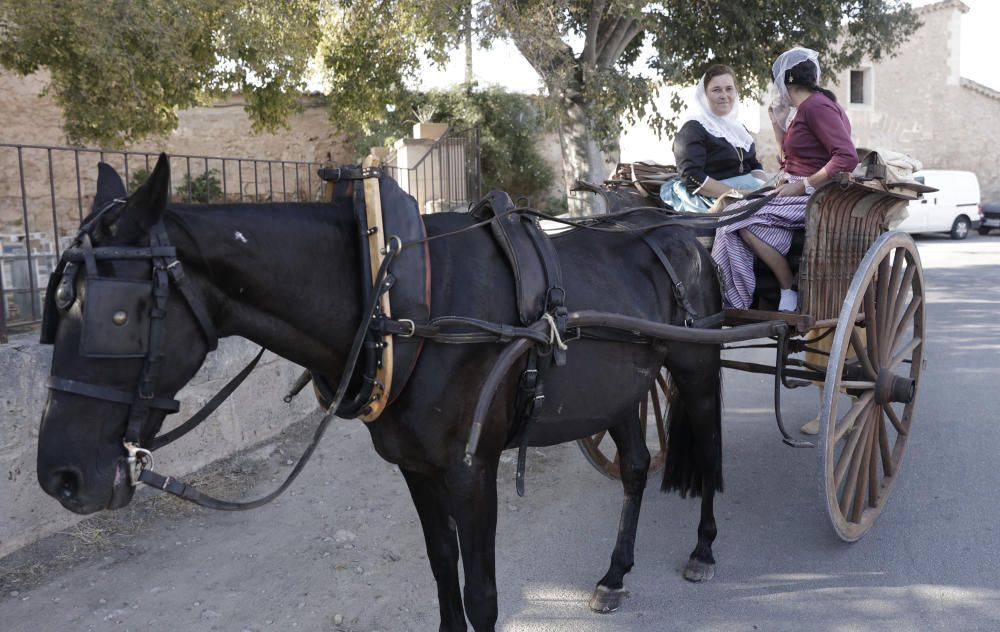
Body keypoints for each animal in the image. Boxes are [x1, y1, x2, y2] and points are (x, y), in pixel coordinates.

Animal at [35, 156, 724, 628]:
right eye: (53, 309)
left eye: (115, 316)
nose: (60, 478)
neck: (397, 301)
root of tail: (672, 229)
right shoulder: (416, 469)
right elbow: (444, 576)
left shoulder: (472, 471)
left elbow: (482, 594)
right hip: (623, 388)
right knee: (634, 466)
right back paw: (615, 573)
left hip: (694, 369)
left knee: (709, 451)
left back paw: (704, 550)